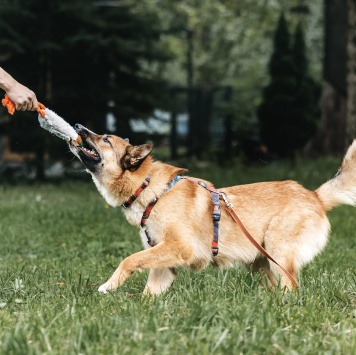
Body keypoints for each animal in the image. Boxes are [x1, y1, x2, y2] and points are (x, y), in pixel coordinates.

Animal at [69, 125, 356, 294]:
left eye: (105, 139)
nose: (79, 127)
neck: (150, 189)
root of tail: (315, 197)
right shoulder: (164, 261)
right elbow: (149, 291)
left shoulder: (180, 247)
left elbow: (128, 260)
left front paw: (109, 285)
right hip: (261, 262)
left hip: (278, 253)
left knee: (291, 287)